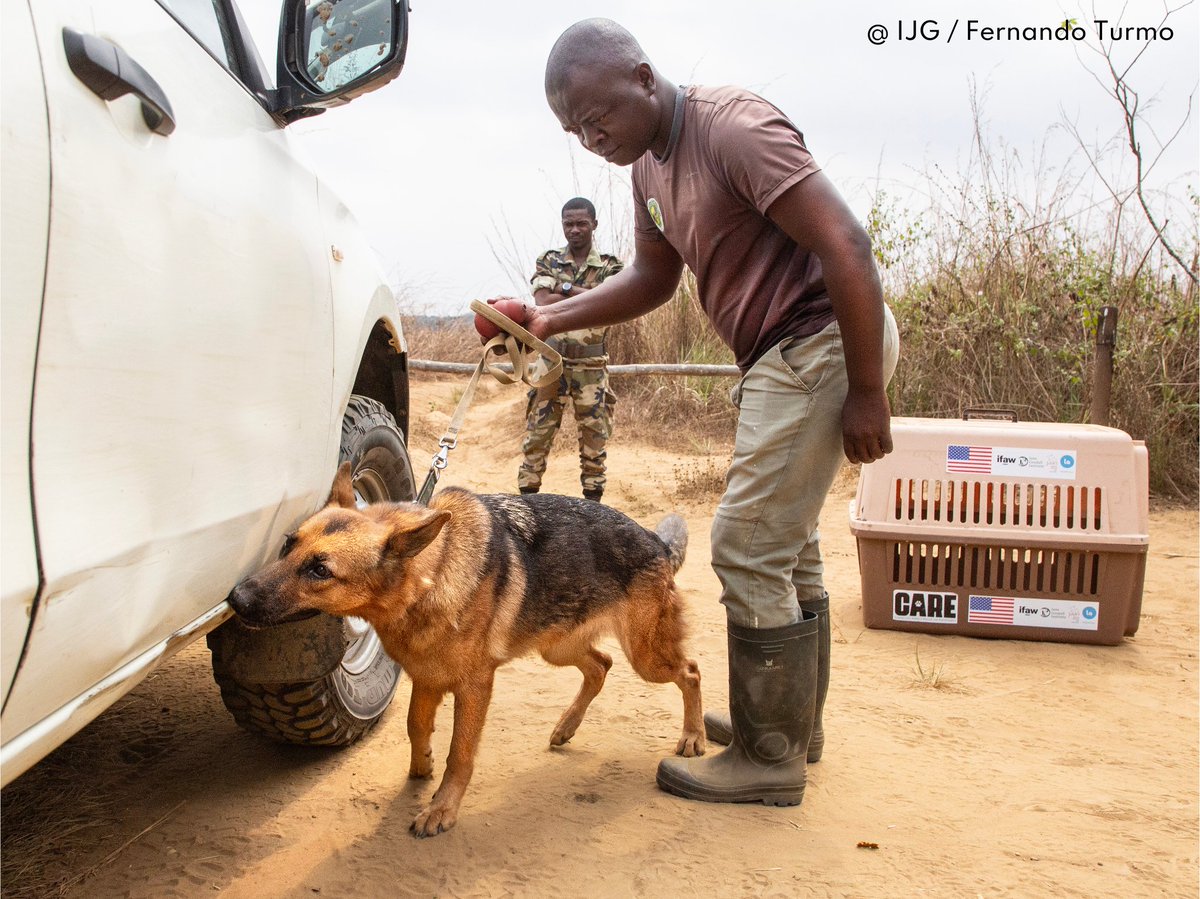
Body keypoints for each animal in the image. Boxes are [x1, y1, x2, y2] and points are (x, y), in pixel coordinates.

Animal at [226, 463, 700, 835]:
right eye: (289, 544)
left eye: (320, 570)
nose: (236, 599)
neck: (430, 574)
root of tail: (655, 541)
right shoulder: (427, 677)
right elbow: (416, 726)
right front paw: (421, 768)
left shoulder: (474, 687)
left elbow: (461, 753)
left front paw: (441, 808)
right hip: (558, 646)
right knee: (600, 665)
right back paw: (566, 727)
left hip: (647, 657)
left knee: (690, 671)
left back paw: (693, 736)